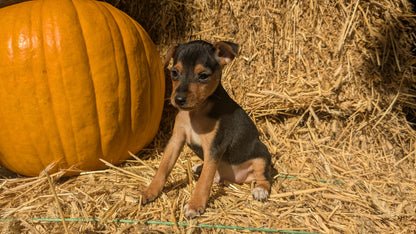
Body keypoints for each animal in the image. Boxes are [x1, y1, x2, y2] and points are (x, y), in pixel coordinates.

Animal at [141, 39, 272, 218]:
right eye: (174, 72)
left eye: (203, 76)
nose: (178, 99)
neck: (196, 112)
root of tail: (236, 178)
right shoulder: (176, 140)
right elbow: (163, 168)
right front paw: (151, 191)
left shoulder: (214, 148)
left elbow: (204, 181)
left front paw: (195, 205)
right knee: (212, 174)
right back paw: (199, 167)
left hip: (261, 155)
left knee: (264, 176)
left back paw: (260, 190)